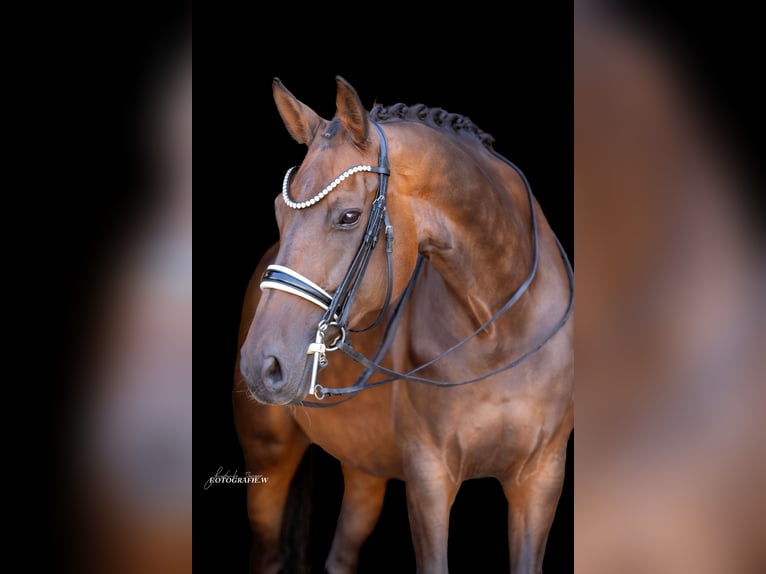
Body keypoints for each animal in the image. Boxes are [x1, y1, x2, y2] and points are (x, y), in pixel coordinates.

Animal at [240, 77, 576, 574]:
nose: (261, 365)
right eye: (279, 211)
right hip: (268, 459)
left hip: (363, 464)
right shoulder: (428, 478)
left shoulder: (541, 479)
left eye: (349, 216)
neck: (501, 333)